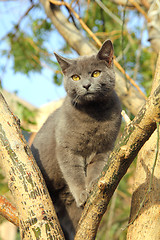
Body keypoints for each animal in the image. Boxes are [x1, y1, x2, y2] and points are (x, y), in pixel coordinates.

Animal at [31, 40, 121, 239]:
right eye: (75, 77)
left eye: (96, 73)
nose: (86, 85)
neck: (93, 115)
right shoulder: (66, 148)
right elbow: (73, 172)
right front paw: (82, 193)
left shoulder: (104, 148)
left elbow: (96, 168)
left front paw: (93, 185)